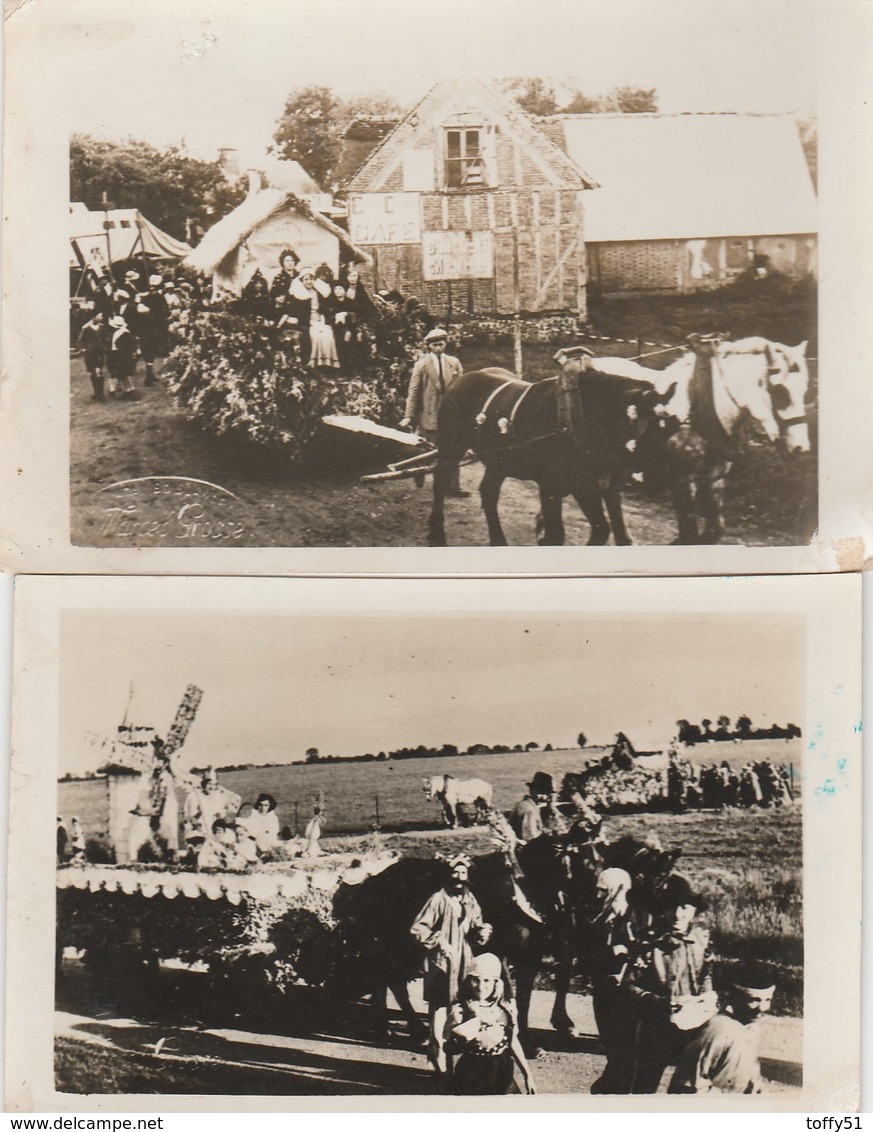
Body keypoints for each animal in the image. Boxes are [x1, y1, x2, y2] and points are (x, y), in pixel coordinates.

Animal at [428, 366, 661, 547]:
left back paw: (498, 540)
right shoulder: (550, 486)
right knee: (440, 481)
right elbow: (557, 535)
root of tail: (460, 379)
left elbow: (600, 529)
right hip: (451, 447)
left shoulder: (584, 485)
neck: (577, 417)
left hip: (498, 461)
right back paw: (436, 534)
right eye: (652, 426)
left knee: (489, 492)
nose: (652, 475)